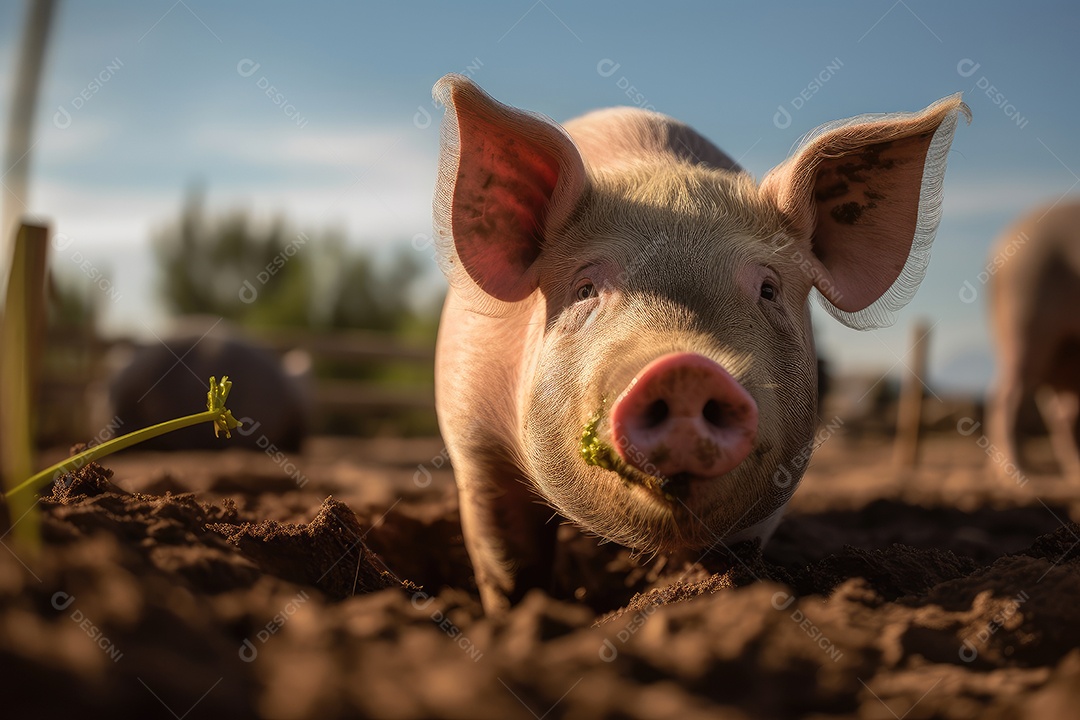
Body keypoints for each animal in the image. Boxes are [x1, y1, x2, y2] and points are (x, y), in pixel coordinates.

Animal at [432, 74, 972, 613]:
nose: (685, 368)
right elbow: (507, 559)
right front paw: (515, 615)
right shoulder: (472, 440)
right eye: (585, 290)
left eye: (768, 290)